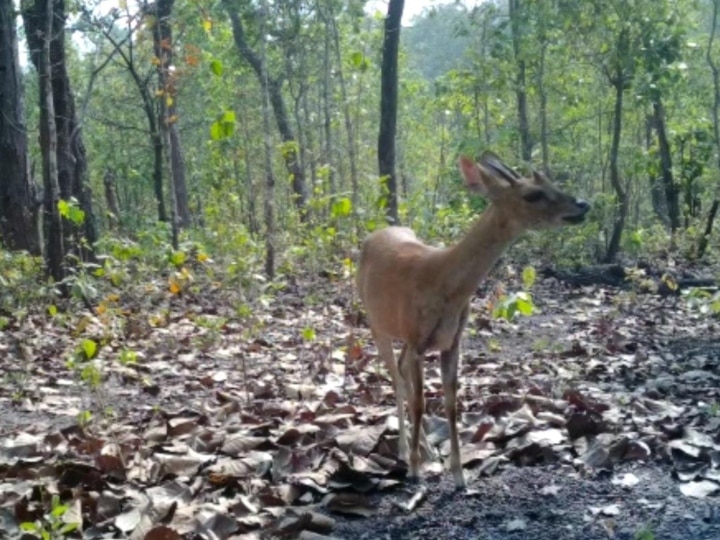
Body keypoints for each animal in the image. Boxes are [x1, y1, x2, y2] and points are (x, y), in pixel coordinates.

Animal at [356, 150, 592, 488]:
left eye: (550, 181)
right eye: (532, 194)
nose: (583, 204)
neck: (444, 283)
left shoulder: (451, 340)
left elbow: (451, 404)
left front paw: (458, 474)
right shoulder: (417, 338)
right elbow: (420, 402)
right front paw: (415, 470)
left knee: (401, 374)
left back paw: (426, 448)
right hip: (377, 324)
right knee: (398, 382)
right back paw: (405, 450)